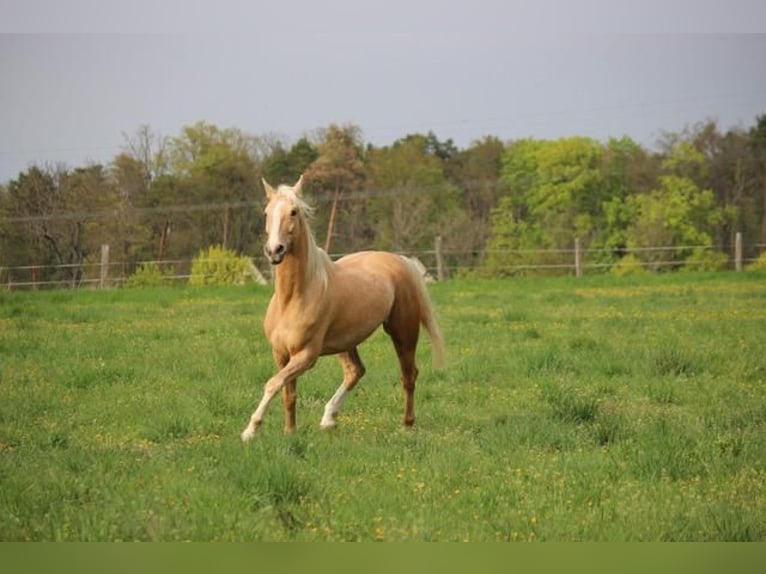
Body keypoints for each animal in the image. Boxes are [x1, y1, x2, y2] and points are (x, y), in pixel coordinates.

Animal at [240, 176, 444, 440]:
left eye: (294, 212)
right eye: (267, 213)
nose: (275, 250)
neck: (293, 298)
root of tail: (400, 261)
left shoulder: (306, 355)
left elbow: (273, 384)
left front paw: (250, 430)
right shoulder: (282, 354)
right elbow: (287, 393)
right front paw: (290, 432)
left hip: (403, 331)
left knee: (409, 375)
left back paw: (406, 424)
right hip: (346, 341)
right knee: (355, 371)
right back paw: (328, 419)